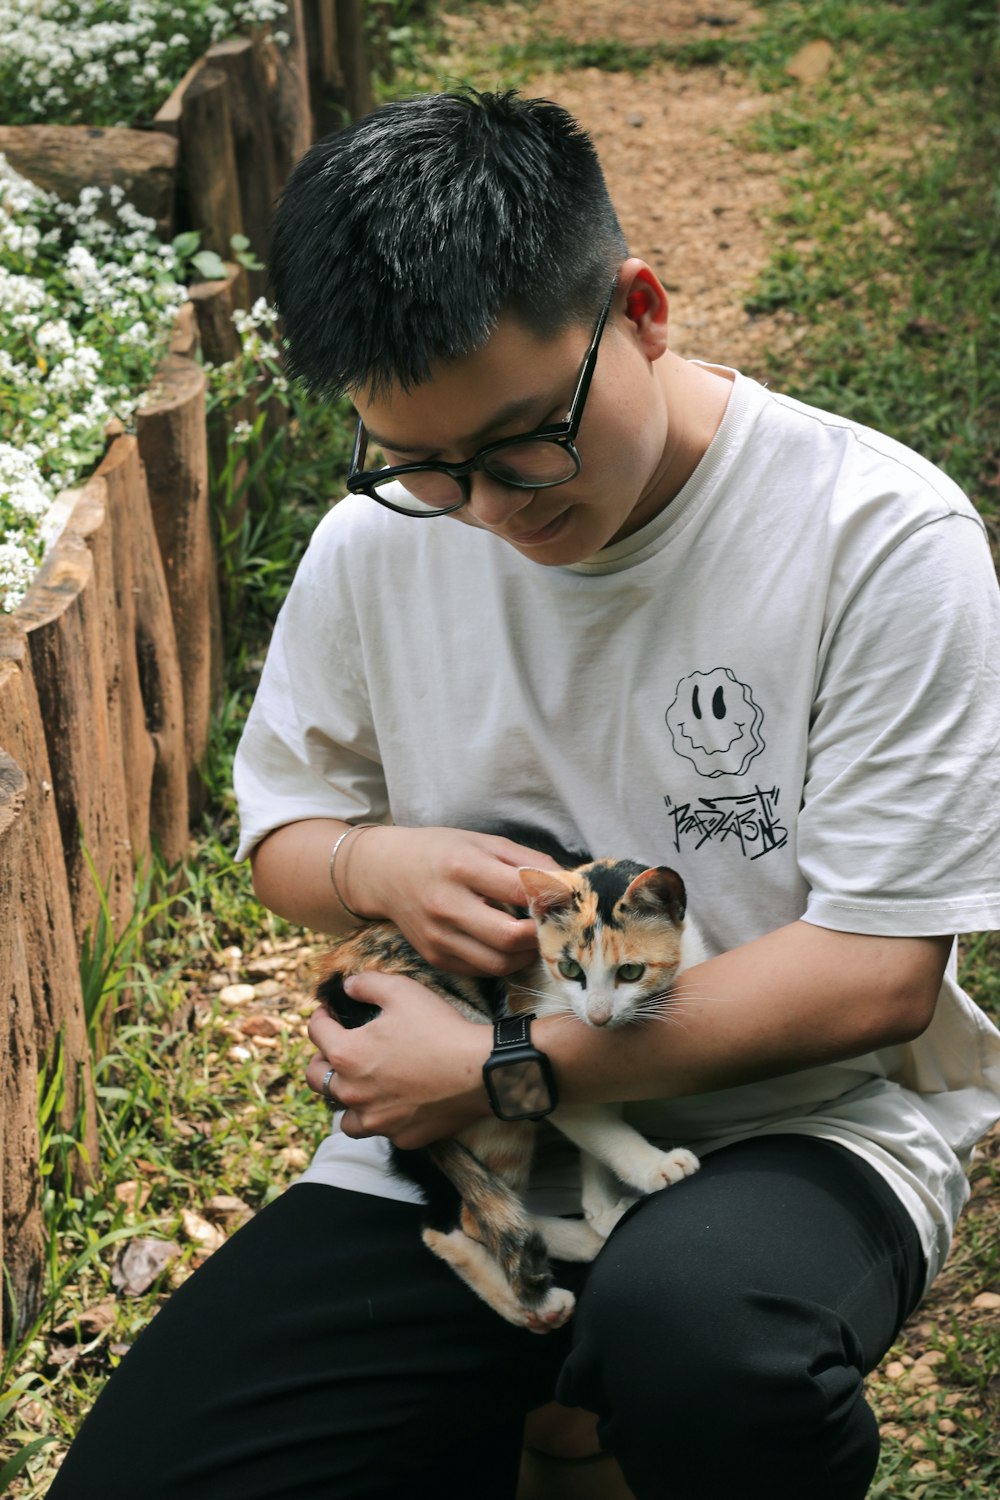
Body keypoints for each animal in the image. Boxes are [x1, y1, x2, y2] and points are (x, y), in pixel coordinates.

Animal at [316, 864, 707, 1332]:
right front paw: (653, 1169)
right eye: (570, 968)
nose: (597, 1016)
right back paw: (549, 1283)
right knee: (464, 1220)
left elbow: (601, 1130)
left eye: (629, 972)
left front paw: (602, 1207)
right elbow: (601, 1129)